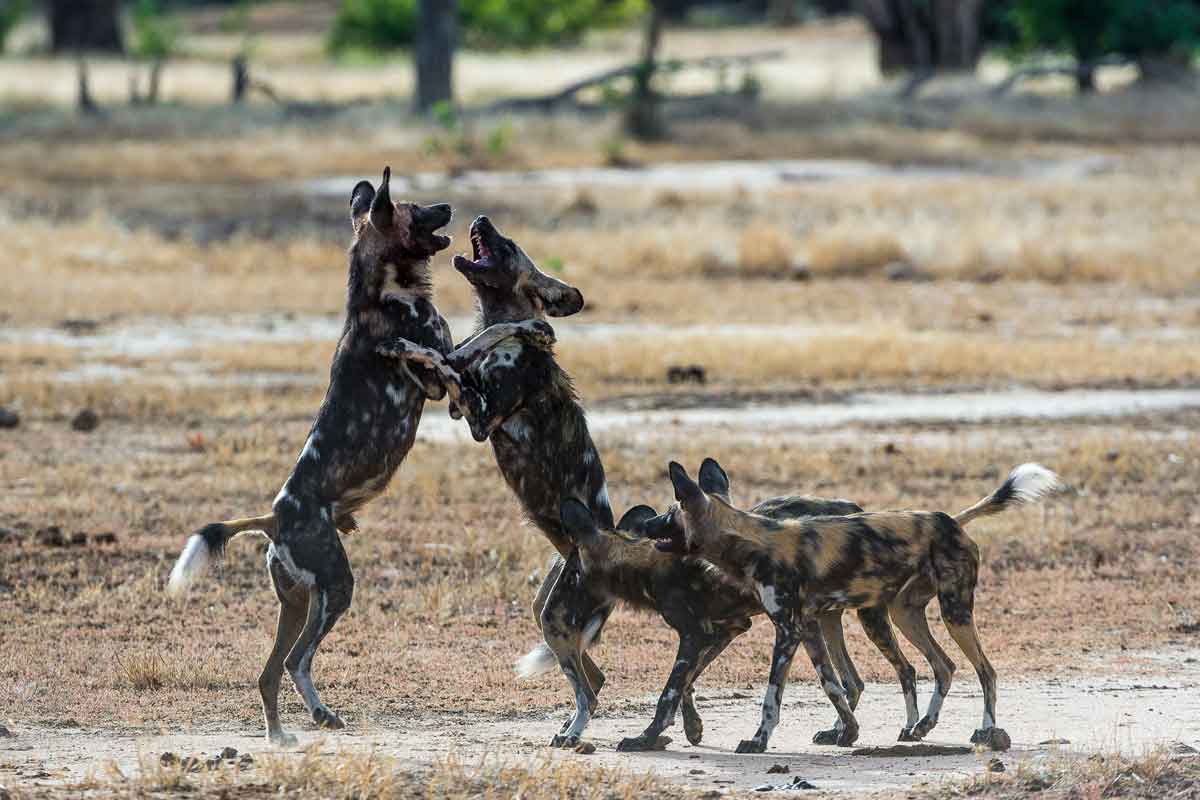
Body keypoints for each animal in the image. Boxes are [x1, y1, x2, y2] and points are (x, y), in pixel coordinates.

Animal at [648, 460, 1060, 753]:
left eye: (669, 514)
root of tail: (951, 521)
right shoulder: (808, 628)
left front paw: (759, 739)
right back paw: (920, 727)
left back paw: (987, 731)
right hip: (904, 615)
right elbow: (834, 685)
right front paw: (846, 732)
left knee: (986, 671)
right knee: (943, 666)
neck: (753, 541)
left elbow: (771, 696)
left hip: (952, 612)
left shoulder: (788, 632)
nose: (643, 523)